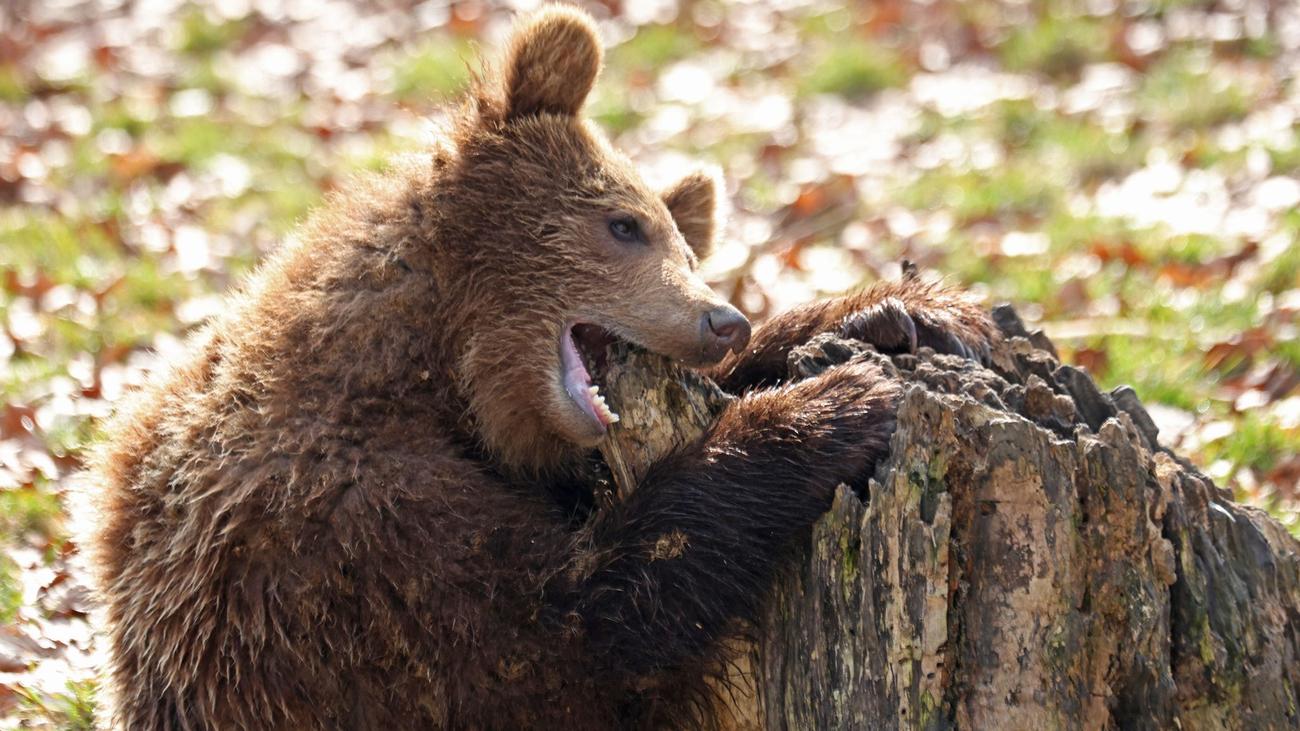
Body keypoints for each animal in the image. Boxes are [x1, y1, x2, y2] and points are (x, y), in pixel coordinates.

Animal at [83, 7, 996, 730]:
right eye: (624, 224)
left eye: (680, 242)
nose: (723, 321)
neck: (430, 370)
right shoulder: (339, 541)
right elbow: (565, 624)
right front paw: (835, 403)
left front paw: (903, 316)